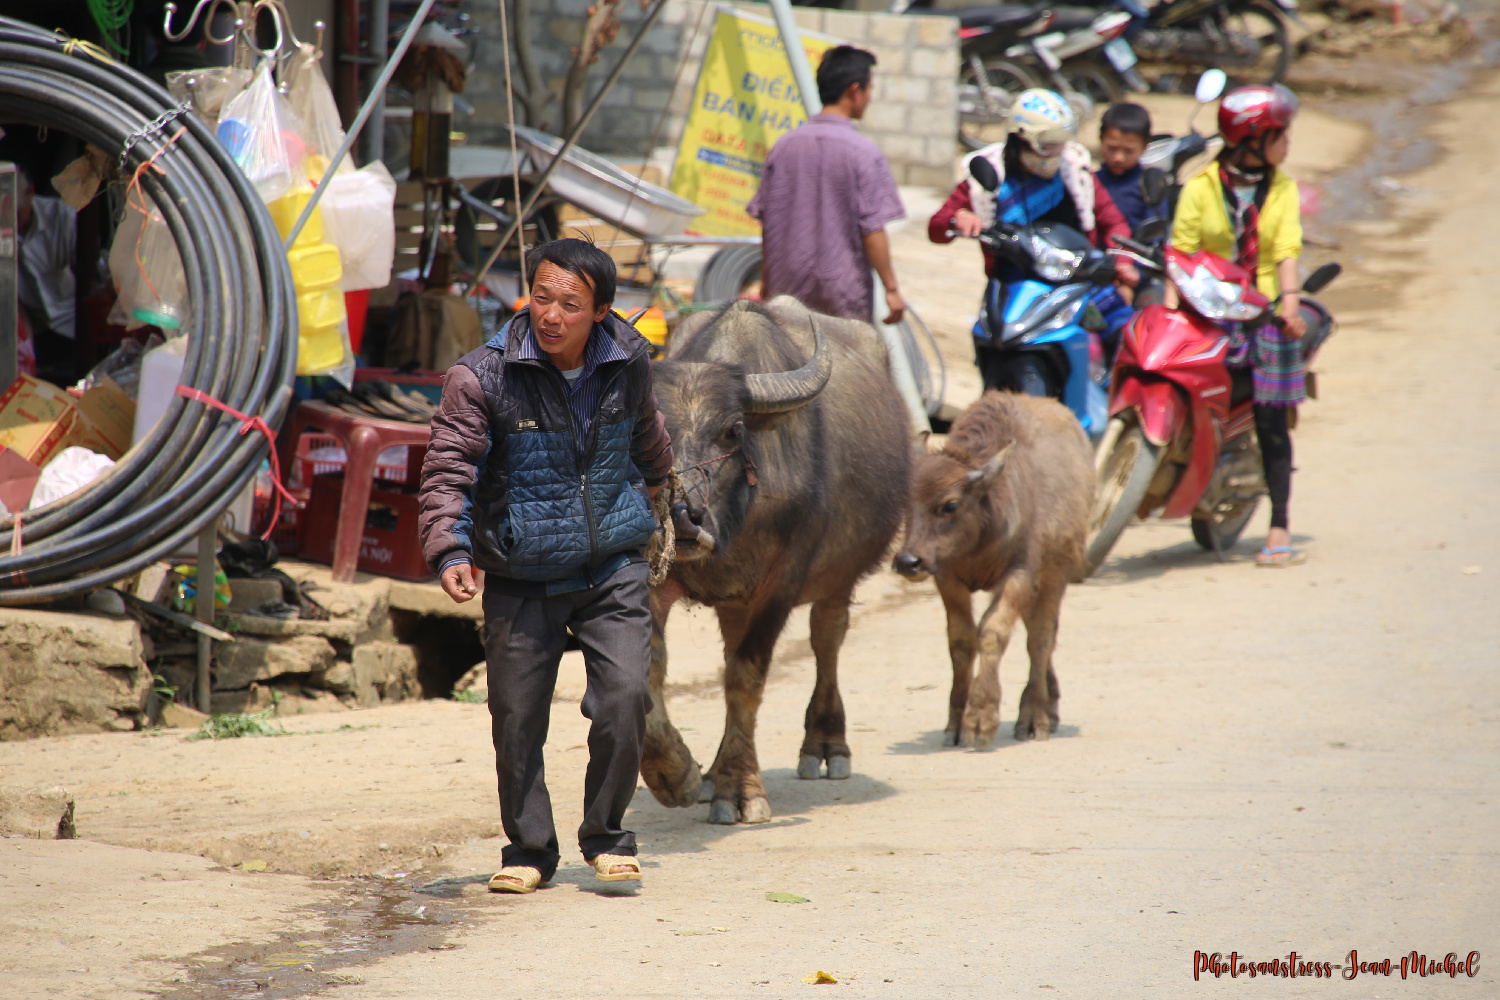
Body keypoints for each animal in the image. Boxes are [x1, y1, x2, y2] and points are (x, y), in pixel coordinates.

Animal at [640, 297, 911, 825]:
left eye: (732, 431)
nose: (683, 518)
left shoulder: (781, 584)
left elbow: (747, 678)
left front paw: (740, 791)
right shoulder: (654, 576)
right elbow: (651, 667)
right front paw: (676, 774)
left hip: (838, 577)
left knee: (827, 638)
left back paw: (825, 745)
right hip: (735, 601)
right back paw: (710, 773)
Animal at [893, 391, 1093, 747]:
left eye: (951, 504)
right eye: (905, 502)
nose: (908, 562)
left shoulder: (1020, 576)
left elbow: (992, 632)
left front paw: (980, 719)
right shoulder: (948, 578)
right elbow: (961, 640)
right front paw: (955, 725)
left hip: (1055, 573)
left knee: (1041, 638)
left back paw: (1035, 717)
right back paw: (1050, 705)